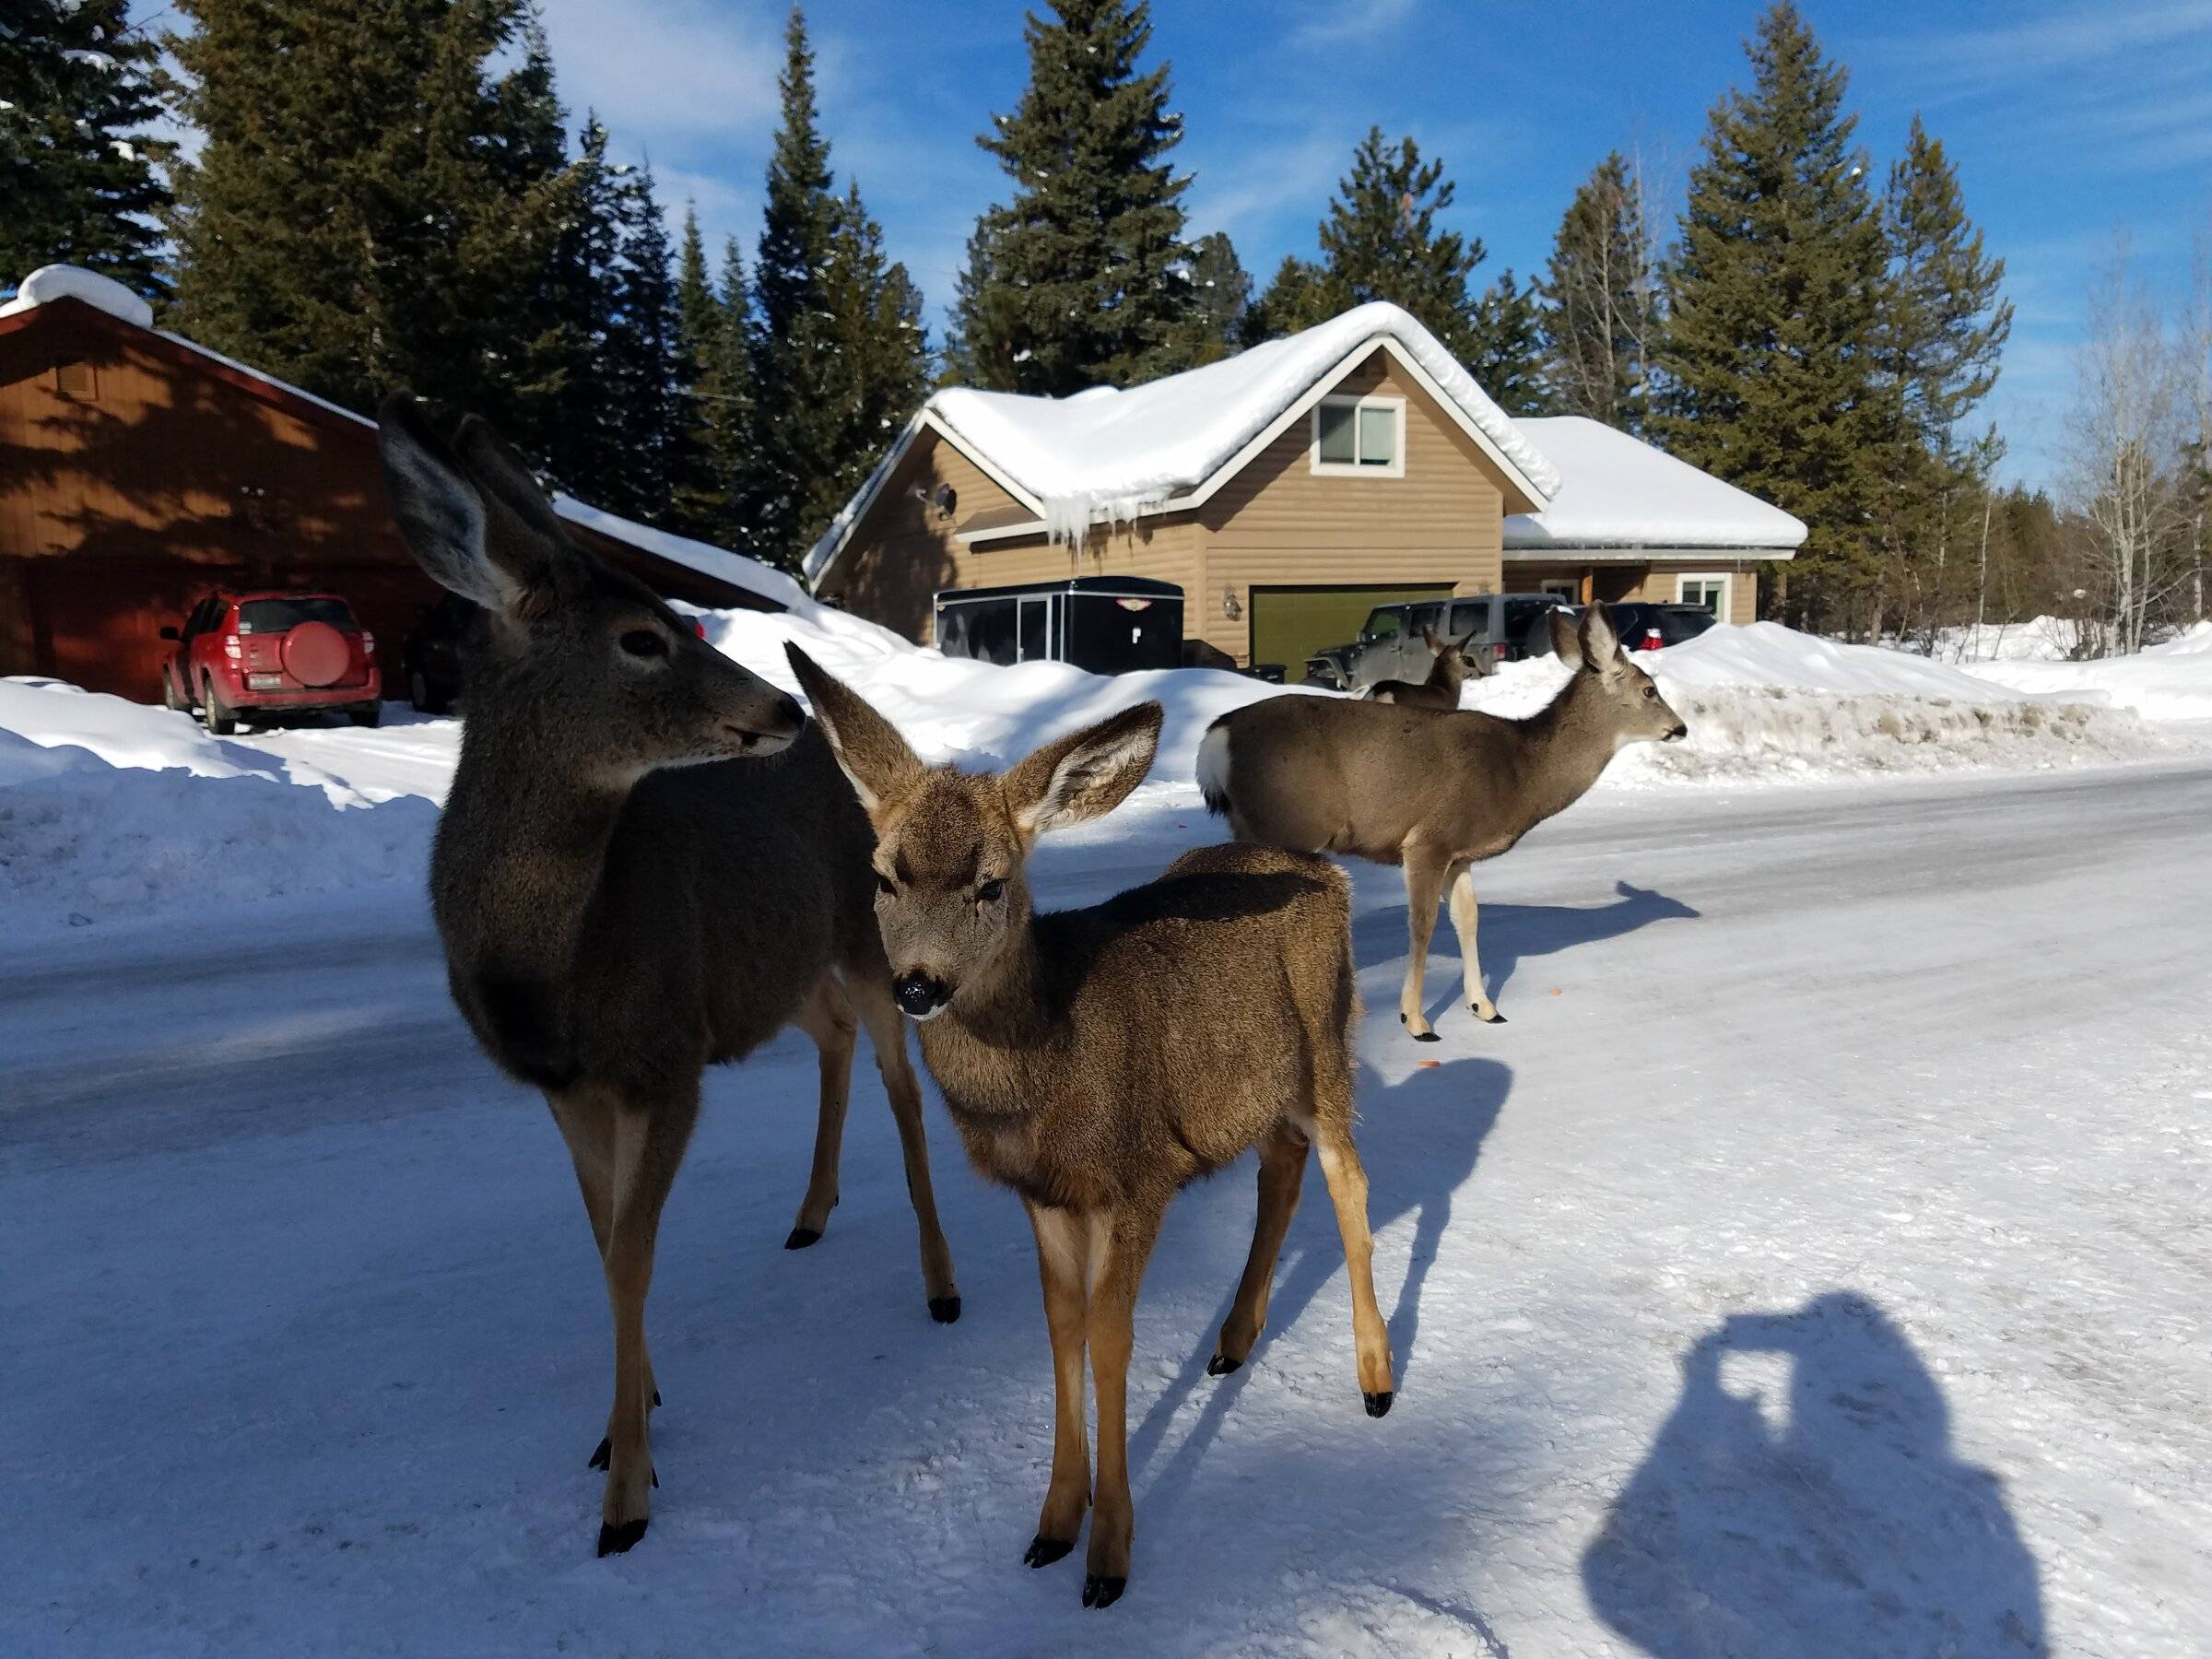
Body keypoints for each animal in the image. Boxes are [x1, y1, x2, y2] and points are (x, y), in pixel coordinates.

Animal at [375, 398, 960, 1558]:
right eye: (639, 639)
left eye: (674, 620)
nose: (784, 708)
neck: (554, 967)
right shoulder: (565, 1085)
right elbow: (606, 1246)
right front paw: (628, 1417)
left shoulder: (663, 1059)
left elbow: (631, 1258)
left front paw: (626, 1495)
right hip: (774, 967)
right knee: (831, 1037)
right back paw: (810, 1212)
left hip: (866, 938)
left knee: (903, 1085)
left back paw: (939, 1281)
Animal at [782, 644, 1395, 1611]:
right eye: (883, 875)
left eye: (991, 884)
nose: (917, 986)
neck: (1049, 1067)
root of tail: (1321, 869)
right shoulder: (1046, 1196)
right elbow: (1061, 1327)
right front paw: (1052, 1525)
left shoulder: (1139, 1173)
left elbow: (1111, 1340)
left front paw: (1109, 1557)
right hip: (1259, 1088)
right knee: (1282, 1169)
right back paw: (1231, 1342)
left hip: (1327, 1046)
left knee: (1349, 1179)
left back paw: (1374, 1382)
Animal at [1199, 604, 1688, 1041]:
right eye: (1649, 690)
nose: (1681, 727)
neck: (1520, 772)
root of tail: (1216, 737)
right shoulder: (1428, 840)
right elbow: (1423, 924)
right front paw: (1416, 1021)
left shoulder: (1461, 852)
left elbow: (1467, 918)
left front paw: (1484, 1007)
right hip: (1281, 825)